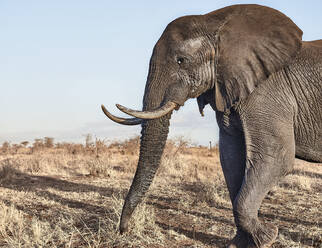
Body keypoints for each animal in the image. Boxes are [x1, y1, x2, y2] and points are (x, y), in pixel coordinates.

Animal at [101, 3, 322, 248]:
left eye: (181, 60)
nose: (124, 230)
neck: (215, 23)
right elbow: (231, 158)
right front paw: (240, 243)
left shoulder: (268, 93)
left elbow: (276, 158)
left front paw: (267, 237)